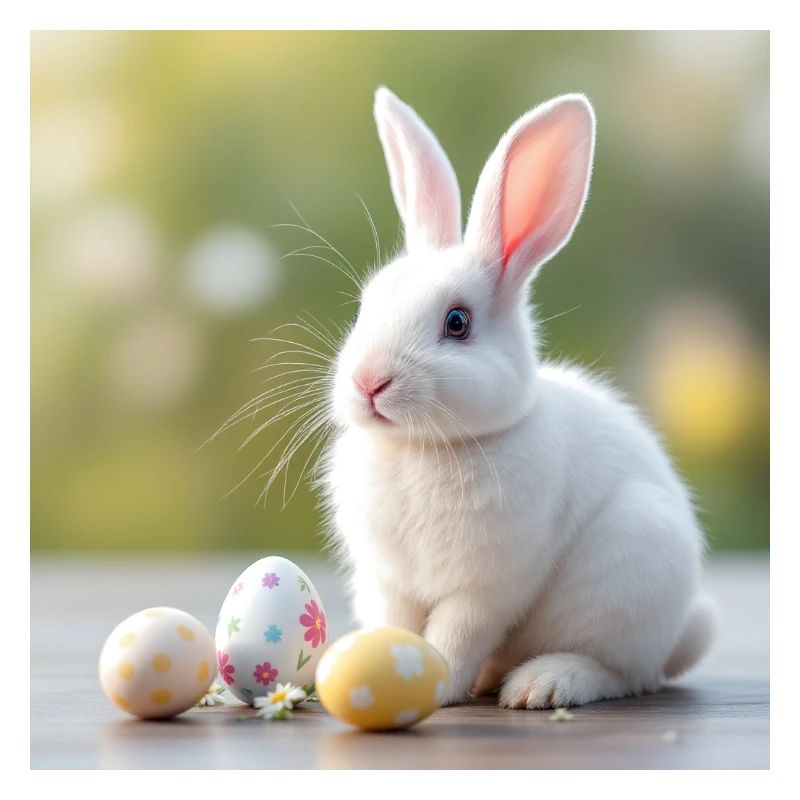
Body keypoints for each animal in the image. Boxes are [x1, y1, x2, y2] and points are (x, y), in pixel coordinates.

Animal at [323, 86, 714, 708]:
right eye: (366, 305)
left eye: (457, 323)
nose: (368, 382)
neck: (421, 448)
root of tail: (680, 631)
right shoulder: (388, 582)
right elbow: (397, 624)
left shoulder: (487, 588)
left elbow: (455, 635)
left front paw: (438, 683)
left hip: (629, 570)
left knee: (625, 673)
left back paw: (543, 685)